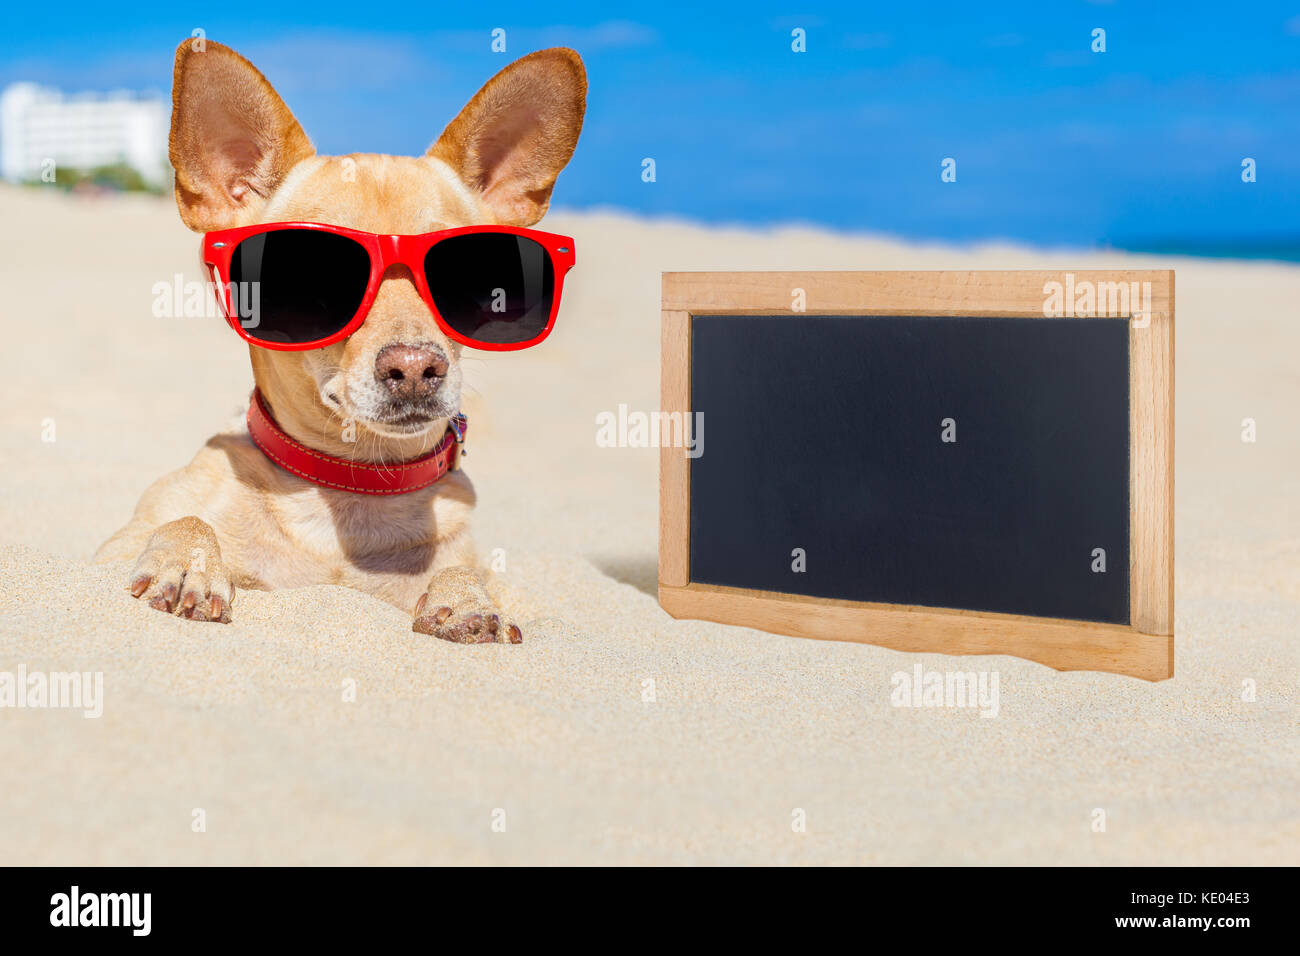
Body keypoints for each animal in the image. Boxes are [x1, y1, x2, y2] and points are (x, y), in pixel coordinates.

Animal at [96, 41, 590, 647]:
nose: (415, 367)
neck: (350, 484)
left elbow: (463, 570)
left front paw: (467, 600)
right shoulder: (110, 548)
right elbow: (183, 519)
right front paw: (189, 564)